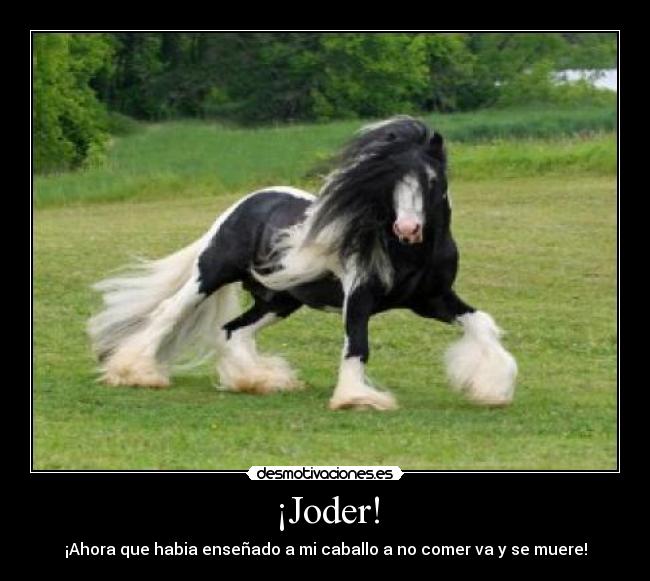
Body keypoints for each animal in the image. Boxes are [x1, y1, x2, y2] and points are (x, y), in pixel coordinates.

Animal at [87, 116, 517, 411]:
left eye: (430, 180)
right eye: (388, 181)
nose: (408, 228)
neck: (411, 254)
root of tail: (245, 204)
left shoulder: (433, 299)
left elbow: (482, 323)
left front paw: (492, 387)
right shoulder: (359, 298)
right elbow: (357, 345)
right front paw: (356, 399)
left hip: (280, 299)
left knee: (233, 331)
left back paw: (258, 380)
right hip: (211, 273)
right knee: (167, 313)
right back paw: (136, 373)